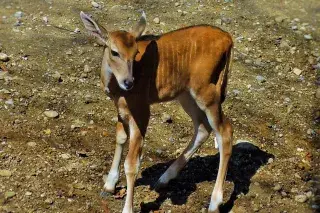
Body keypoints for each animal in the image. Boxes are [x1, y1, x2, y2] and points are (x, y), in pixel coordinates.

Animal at [80, 11, 232, 213]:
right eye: (114, 52)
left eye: (136, 52)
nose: (129, 82)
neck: (117, 89)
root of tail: (229, 39)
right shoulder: (120, 107)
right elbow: (120, 138)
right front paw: (109, 185)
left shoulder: (141, 109)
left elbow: (132, 163)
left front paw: (127, 208)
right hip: (186, 94)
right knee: (203, 128)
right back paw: (163, 179)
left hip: (207, 91)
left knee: (225, 132)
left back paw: (215, 203)